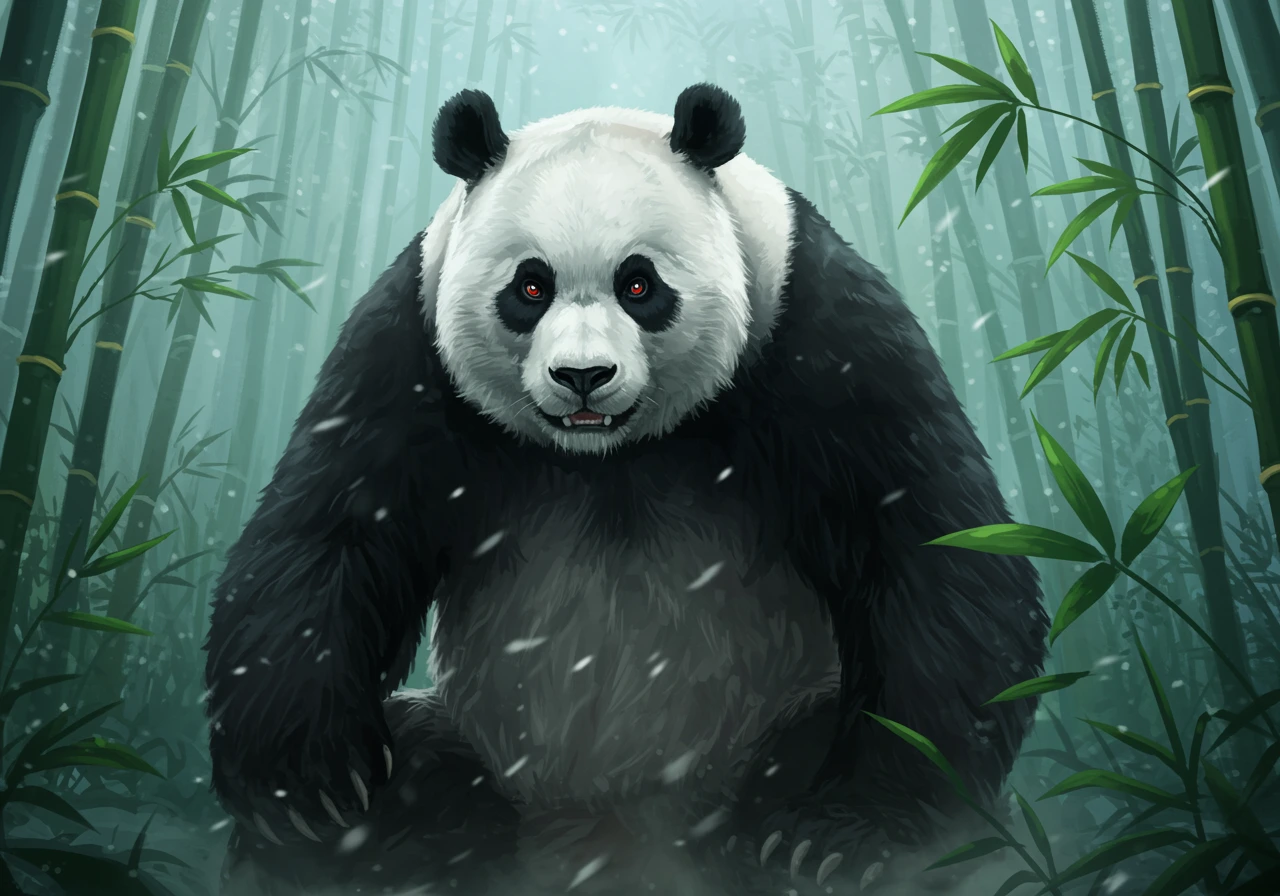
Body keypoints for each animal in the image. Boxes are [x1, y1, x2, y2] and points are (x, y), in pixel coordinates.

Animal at [205, 84, 1047, 896]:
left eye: (639, 283)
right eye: (530, 286)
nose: (583, 376)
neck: (608, 456)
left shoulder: (815, 331)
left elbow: (925, 544)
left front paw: (853, 832)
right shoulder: (411, 346)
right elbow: (332, 536)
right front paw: (312, 787)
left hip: (771, 727)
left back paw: (801, 843)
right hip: (483, 752)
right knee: (419, 782)